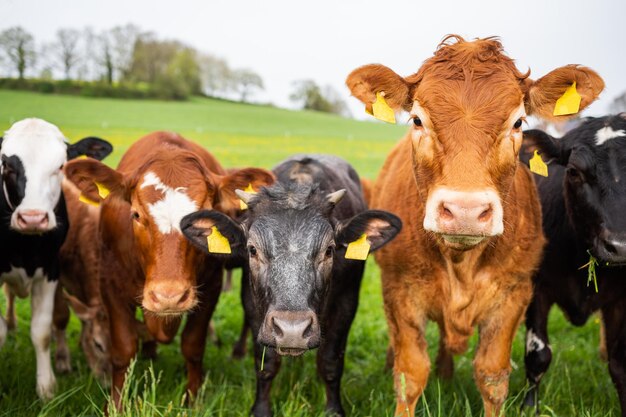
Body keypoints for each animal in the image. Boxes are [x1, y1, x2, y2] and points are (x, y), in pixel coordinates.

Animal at [0, 116, 111, 396]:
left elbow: (42, 331)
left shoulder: (50, 271)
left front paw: (46, 389)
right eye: (6, 165)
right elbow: (0, 330)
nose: (32, 218)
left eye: (60, 166)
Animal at [62, 132, 272, 408]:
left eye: (205, 220)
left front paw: (192, 400)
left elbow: (193, 346)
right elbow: (123, 349)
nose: (168, 297)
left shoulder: (211, 287)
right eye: (136, 214)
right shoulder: (110, 285)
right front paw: (116, 404)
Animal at [180, 154, 400, 414]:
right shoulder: (253, 305)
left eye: (329, 250)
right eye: (252, 250)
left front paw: (334, 410)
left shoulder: (347, 302)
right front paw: (261, 409)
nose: (292, 330)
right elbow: (266, 362)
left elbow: (330, 361)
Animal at [344, 35, 604, 416]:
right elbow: (410, 374)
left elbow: (492, 376)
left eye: (518, 123)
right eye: (417, 120)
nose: (465, 211)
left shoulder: (515, 294)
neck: (460, 264)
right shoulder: (399, 290)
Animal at [520, 113, 624, 412]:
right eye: (574, 172)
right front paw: (528, 407)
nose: (619, 246)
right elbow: (538, 355)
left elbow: (619, 363)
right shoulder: (536, 287)